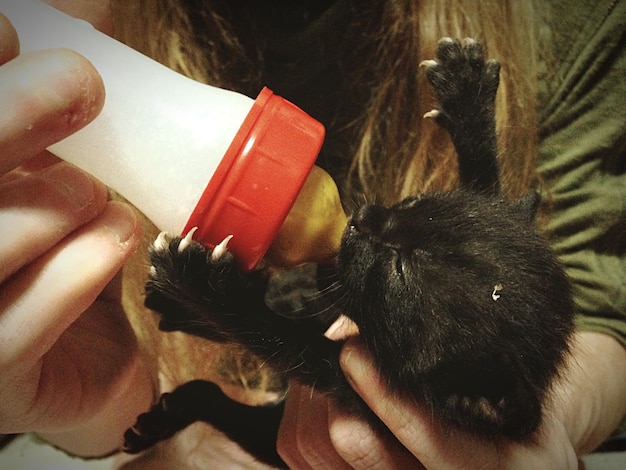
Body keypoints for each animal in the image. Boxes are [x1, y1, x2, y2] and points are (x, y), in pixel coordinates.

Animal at [122, 39, 572, 466]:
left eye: (399, 272)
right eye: (416, 202)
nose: (362, 218)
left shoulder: (344, 383)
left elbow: (273, 333)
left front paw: (203, 285)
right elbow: (486, 185)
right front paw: (469, 101)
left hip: (269, 438)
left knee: (223, 404)